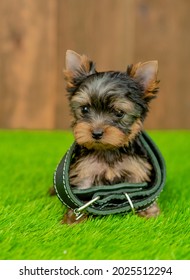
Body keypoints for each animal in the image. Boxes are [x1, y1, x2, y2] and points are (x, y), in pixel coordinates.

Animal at [60, 50, 159, 224]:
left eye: (119, 113)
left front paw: (148, 212)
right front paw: (74, 218)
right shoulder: (85, 171)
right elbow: (81, 193)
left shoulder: (136, 171)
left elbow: (141, 192)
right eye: (85, 109)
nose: (96, 133)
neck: (108, 150)